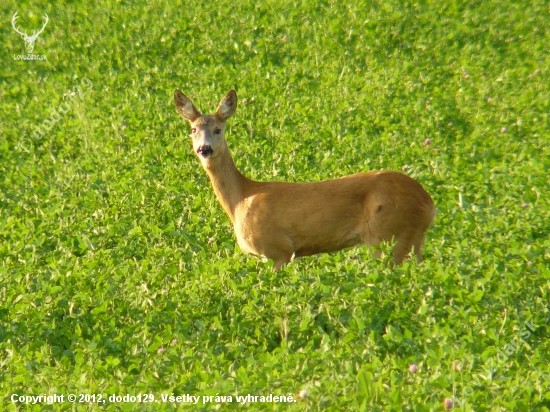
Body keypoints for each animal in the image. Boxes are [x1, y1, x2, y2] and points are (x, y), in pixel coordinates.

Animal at [175, 90, 438, 270]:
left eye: (218, 129)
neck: (241, 199)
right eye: (193, 130)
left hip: (386, 234)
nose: (205, 149)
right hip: (412, 238)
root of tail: (429, 203)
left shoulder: (279, 249)